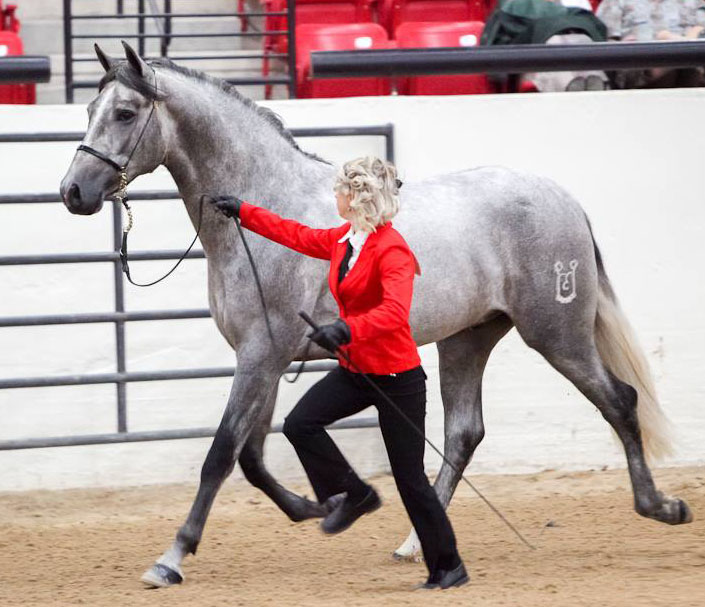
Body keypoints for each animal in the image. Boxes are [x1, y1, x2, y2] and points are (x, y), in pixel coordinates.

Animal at [57, 41, 692, 584]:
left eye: (125, 112)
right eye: (88, 107)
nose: (73, 192)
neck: (263, 210)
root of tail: (564, 200)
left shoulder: (261, 355)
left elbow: (221, 456)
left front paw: (172, 557)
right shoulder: (264, 357)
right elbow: (254, 458)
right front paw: (322, 506)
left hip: (557, 334)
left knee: (620, 402)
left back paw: (662, 507)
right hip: (468, 339)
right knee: (465, 431)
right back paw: (414, 542)